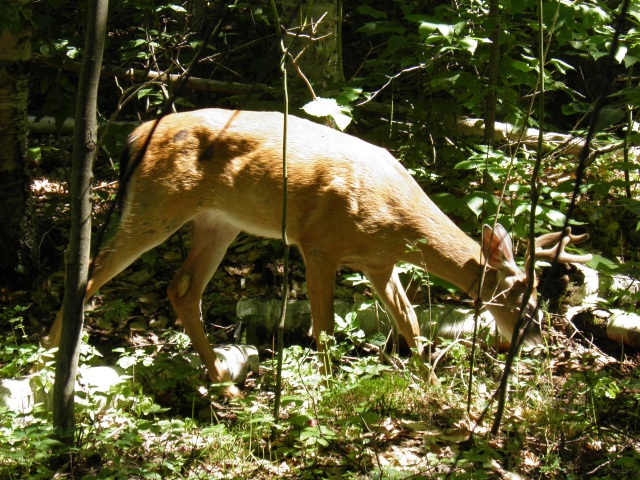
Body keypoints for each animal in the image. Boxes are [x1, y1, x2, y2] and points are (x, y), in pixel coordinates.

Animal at [43, 109, 596, 398]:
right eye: (524, 303)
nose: (535, 341)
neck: (396, 217)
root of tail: (138, 134)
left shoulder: (379, 262)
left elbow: (410, 324)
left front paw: (431, 388)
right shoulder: (319, 244)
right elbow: (323, 327)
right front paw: (333, 397)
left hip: (218, 220)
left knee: (182, 289)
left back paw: (224, 384)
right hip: (157, 203)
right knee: (87, 272)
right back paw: (47, 362)